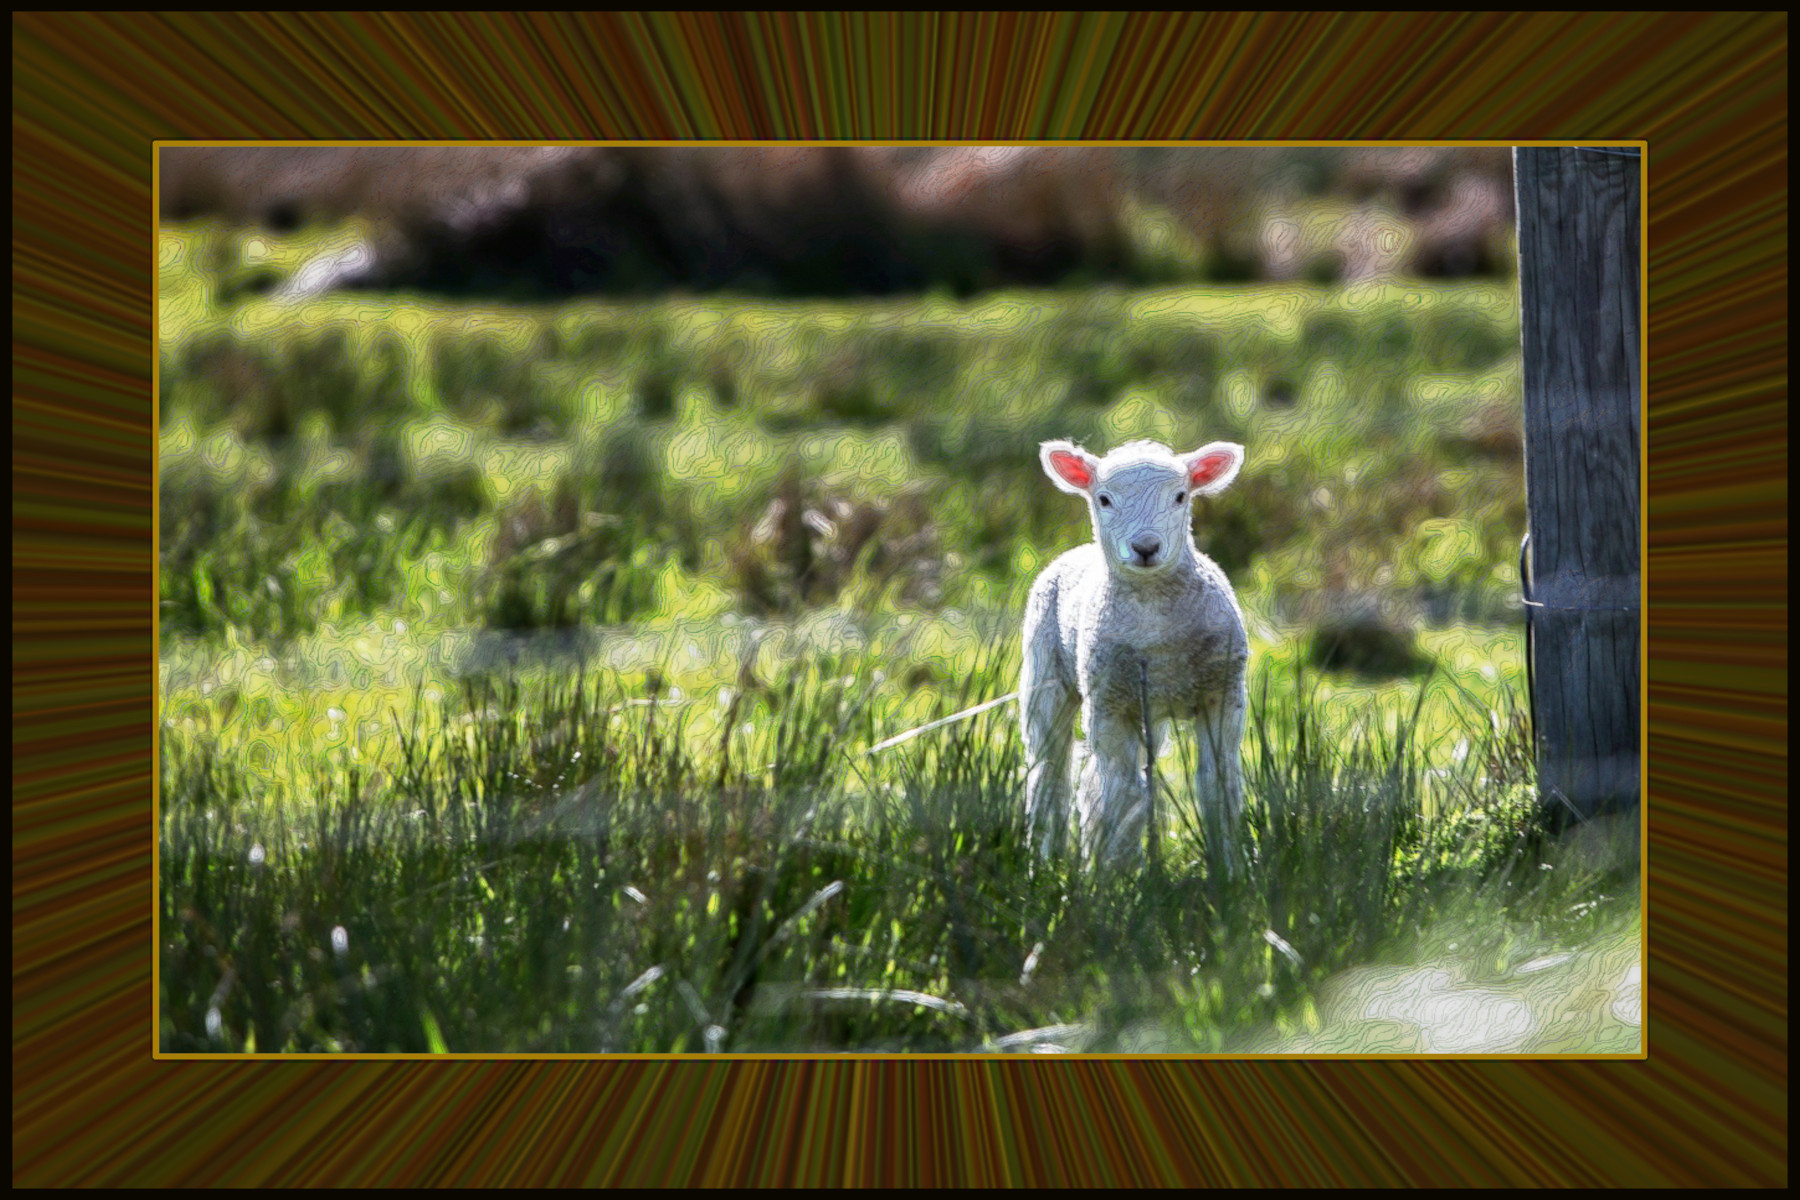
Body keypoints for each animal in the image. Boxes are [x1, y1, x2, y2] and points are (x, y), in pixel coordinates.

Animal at [1020, 438, 1249, 870]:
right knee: (1051, 773)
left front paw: (1232, 867)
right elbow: (1121, 794)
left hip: (1148, 707)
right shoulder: (1109, 705)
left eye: (1180, 497)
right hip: (1045, 674)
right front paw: (1119, 874)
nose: (1145, 547)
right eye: (1104, 499)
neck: (1155, 628)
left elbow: (1218, 784)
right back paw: (1046, 860)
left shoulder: (1223, 694)